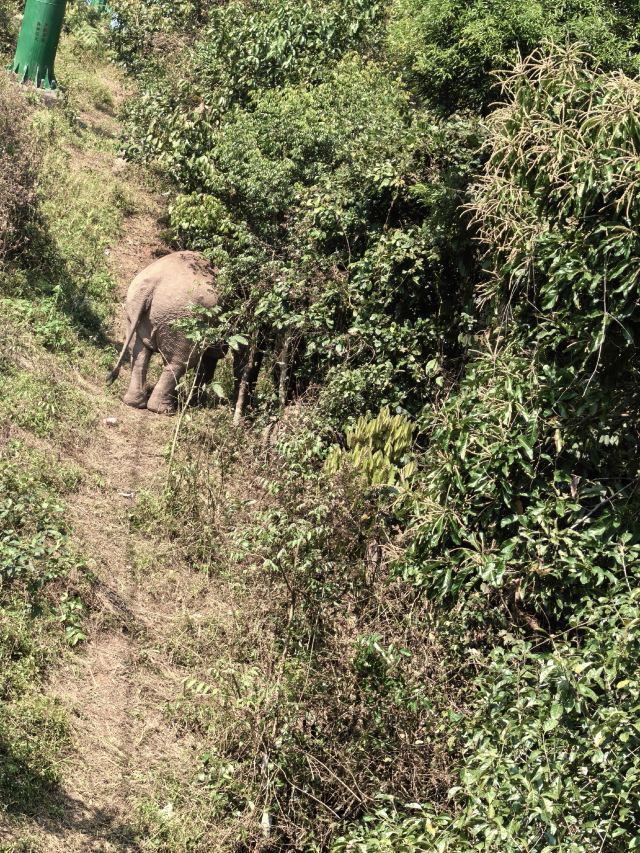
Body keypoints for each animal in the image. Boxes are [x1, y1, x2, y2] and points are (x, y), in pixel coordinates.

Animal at [107, 251, 259, 416]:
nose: (249, 408)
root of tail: (151, 286)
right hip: (181, 322)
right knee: (181, 362)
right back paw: (166, 410)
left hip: (133, 311)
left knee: (139, 354)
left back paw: (135, 403)